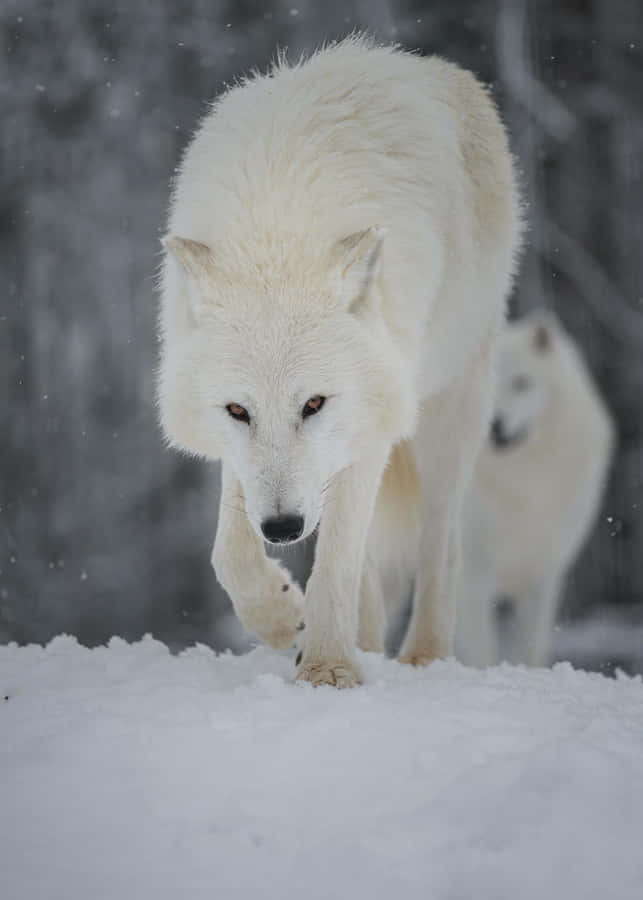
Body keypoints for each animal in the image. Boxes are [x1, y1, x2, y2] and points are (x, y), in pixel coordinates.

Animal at [158, 37, 522, 687]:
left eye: (313, 402)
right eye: (238, 411)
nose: (282, 528)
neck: (277, 231)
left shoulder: (365, 432)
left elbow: (337, 562)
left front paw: (328, 669)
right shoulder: (244, 457)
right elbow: (230, 551)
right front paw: (283, 619)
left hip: (449, 410)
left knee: (440, 543)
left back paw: (423, 656)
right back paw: (369, 642)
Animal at [455, 311, 615, 668]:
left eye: (521, 383)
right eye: (491, 380)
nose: (496, 425)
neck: (524, 483)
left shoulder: (544, 576)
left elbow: (531, 649)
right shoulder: (475, 572)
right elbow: (482, 649)